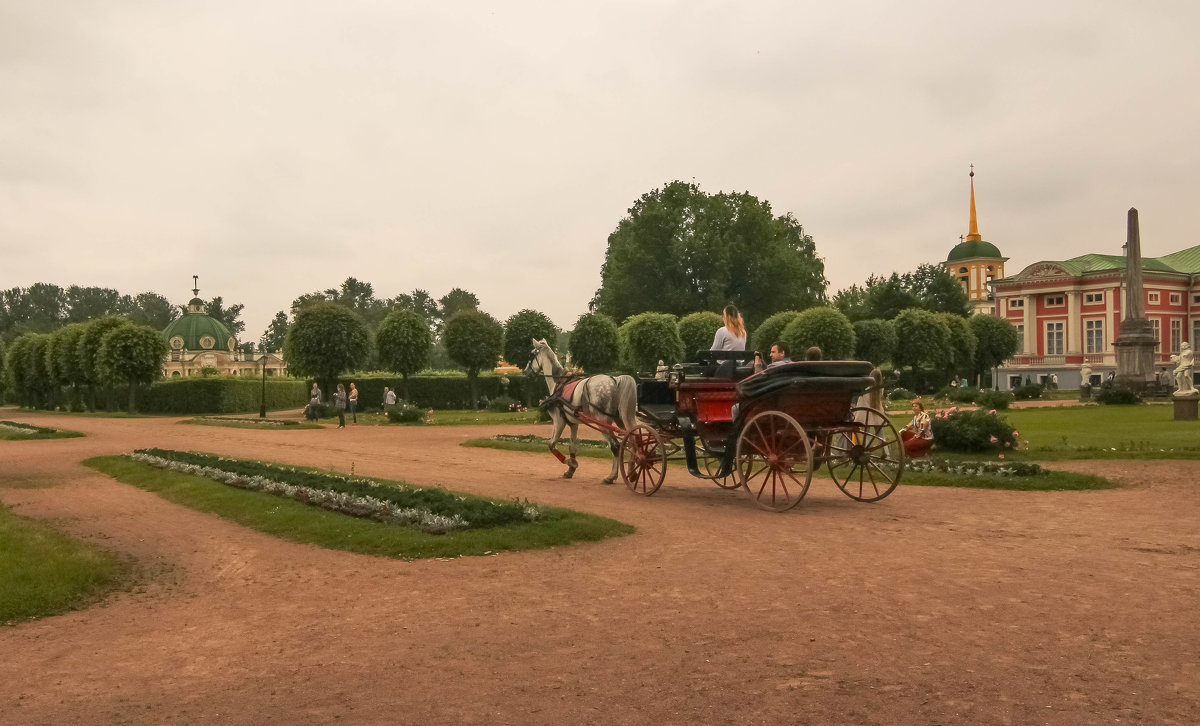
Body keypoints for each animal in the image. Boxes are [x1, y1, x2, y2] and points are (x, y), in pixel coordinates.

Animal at [523, 336, 638, 484]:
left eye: (532, 354)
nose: (525, 371)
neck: (559, 383)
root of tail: (615, 380)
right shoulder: (573, 424)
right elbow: (572, 446)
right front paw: (570, 470)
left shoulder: (559, 422)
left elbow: (551, 445)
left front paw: (571, 463)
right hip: (620, 421)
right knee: (632, 441)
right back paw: (632, 472)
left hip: (603, 422)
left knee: (615, 446)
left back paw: (612, 476)